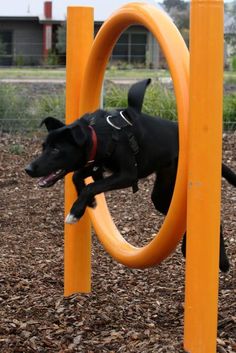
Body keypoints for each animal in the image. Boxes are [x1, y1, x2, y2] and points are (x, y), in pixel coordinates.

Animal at [24, 79, 235, 270]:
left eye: (56, 150)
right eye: (43, 147)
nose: (28, 168)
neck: (98, 134)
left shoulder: (126, 175)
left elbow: (92, 186)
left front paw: (76, 212)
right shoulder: (98, 165)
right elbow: (78, 177)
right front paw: (89, 203)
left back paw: (223, 261)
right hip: (161, 193)